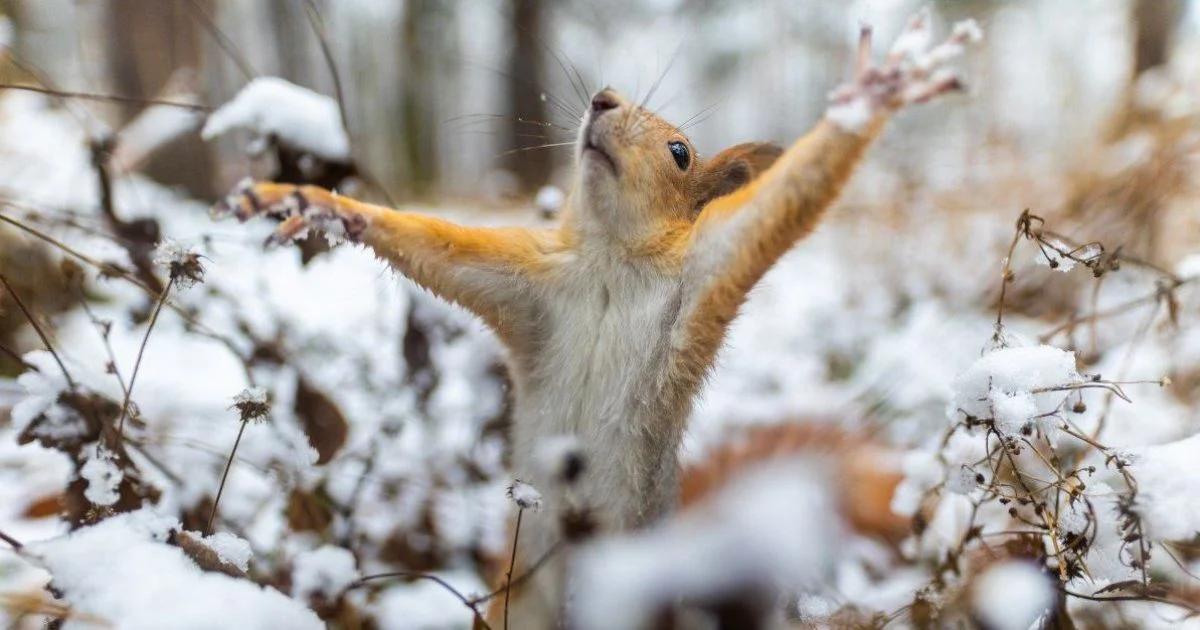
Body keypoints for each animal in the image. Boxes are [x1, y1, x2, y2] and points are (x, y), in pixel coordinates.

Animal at [216, 12, 979, 624]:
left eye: (681, 152)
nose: (601, 98)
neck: (613, 257)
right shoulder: (525, 281)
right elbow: (433, 244)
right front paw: (315, 203)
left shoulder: (709, 267)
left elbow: (784, 204)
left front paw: (874, 91)